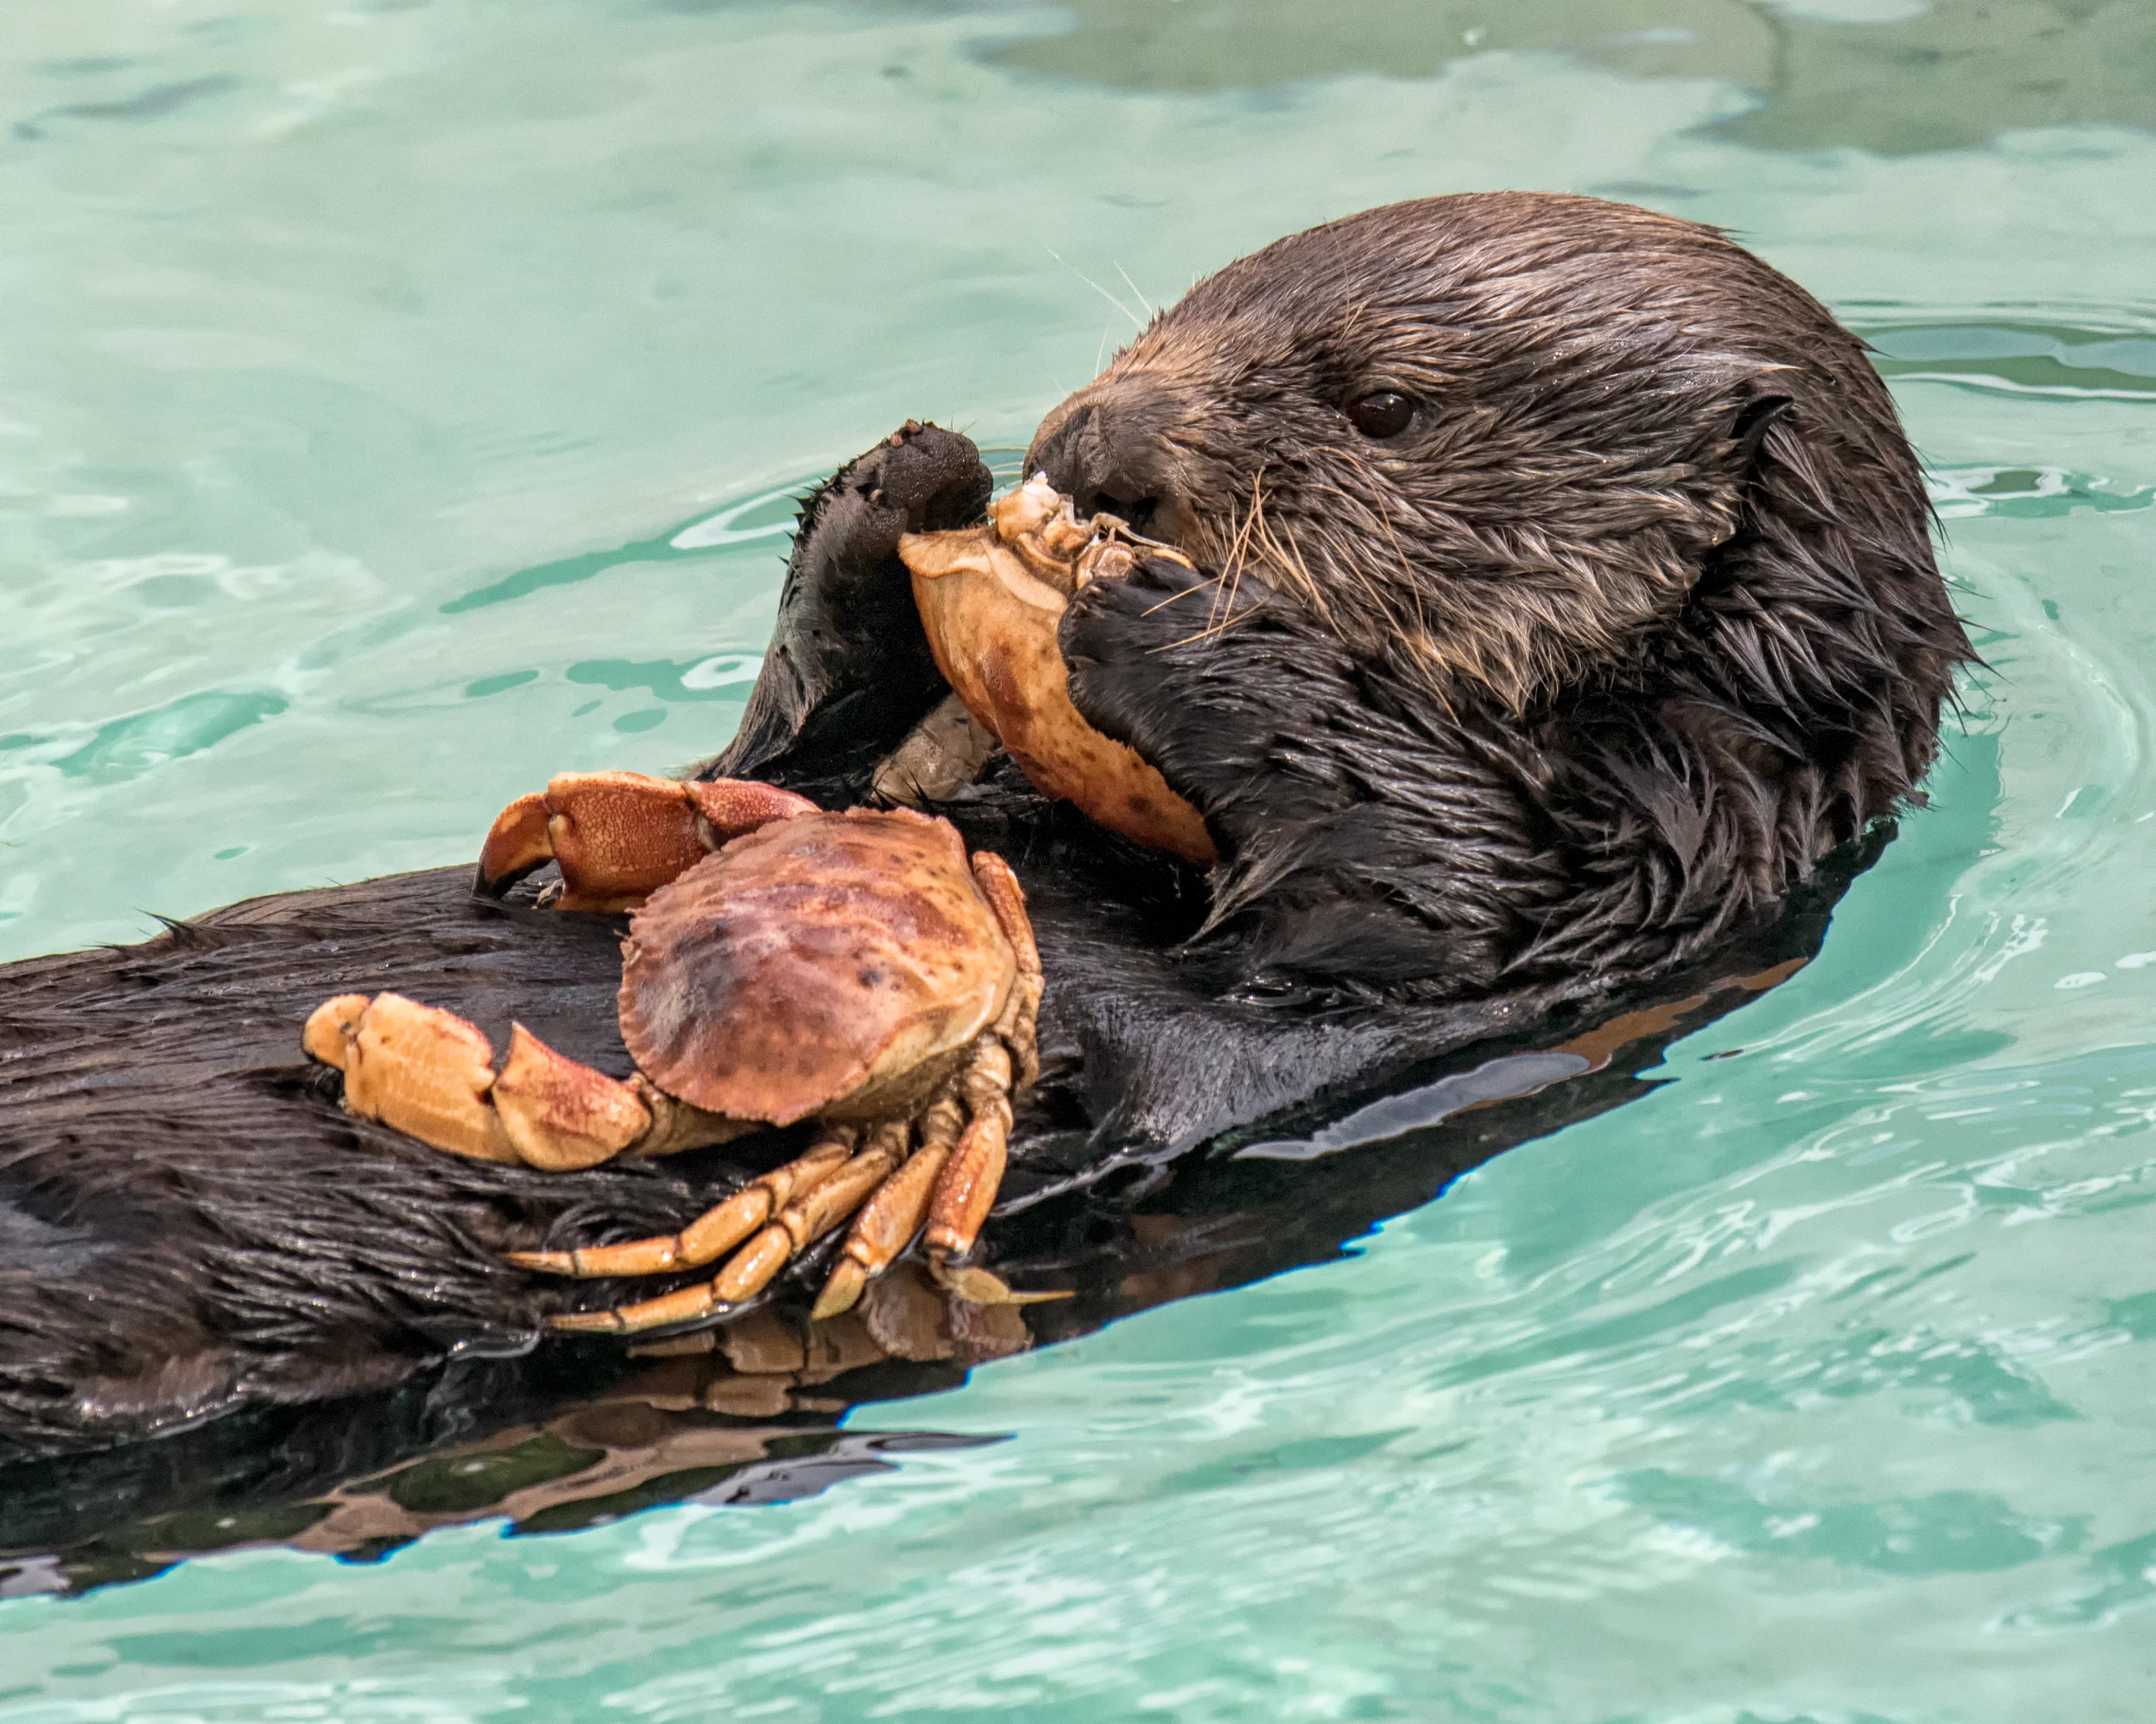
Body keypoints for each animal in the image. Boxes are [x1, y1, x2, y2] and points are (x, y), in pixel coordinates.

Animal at [0, 193, 1968, 1462]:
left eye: (1385, 406)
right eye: (1172, 309)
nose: (1094, 441)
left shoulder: (1608, 894)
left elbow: (1412, 880)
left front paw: (1169, 618)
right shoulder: (880, 799)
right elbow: (806, 778)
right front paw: (901, 496)